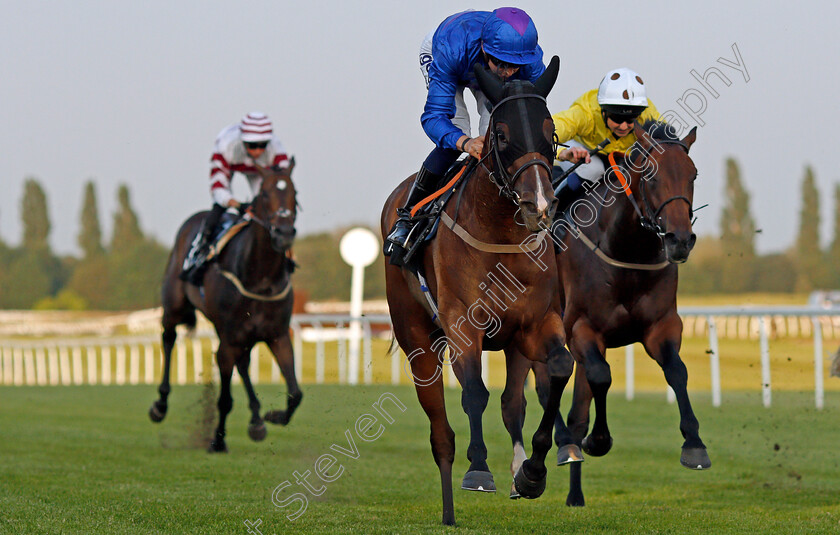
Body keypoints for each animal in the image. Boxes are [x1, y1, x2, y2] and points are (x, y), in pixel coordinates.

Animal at [150, 162, 302, 452]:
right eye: (264, 193)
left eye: (295, 193)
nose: (284, 233)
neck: (260, 277)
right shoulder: (229, 339)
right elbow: (225, 399)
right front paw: (218, 440)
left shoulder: (277, 334)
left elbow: (295, 393)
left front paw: (272, 416)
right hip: (175, 307)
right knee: (169, 338)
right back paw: (160, 405)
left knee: (243, 364)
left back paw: (256, 420)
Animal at [380, 56, 576, 524]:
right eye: (501, 135)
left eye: (550, 132)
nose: (540, 205)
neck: (500, 235)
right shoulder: (461, 326)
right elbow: (473, 392)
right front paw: (480, 470)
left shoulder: (536, 325)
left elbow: (558, 371)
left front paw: (532, 473)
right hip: (417, 340)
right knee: (440, 432)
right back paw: (450, 508)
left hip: (513, 345)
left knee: (512, 403)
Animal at [506, 120, 708, 506]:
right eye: (652, 177)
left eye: (693, 174)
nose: (679, 240)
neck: (625, 250)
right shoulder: (581, 329)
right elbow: (601, 376)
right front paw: (596, 441)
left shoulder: (661, 326)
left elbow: (677, 371)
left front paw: (694, 444)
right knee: (534, 393)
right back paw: (557, 450)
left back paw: (574, 490)